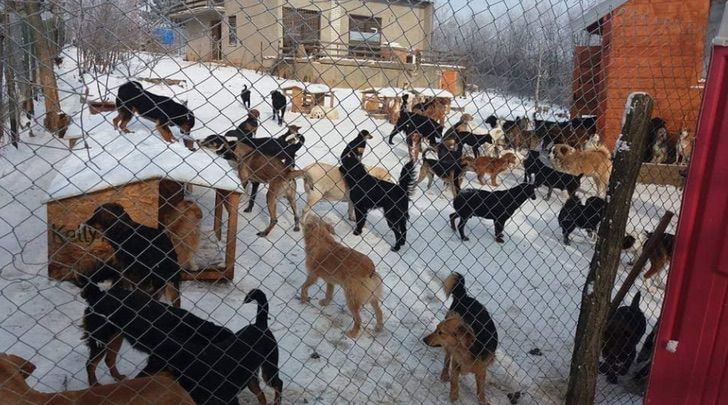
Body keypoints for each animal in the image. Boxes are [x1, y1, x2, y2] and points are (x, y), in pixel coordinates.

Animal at [79, 280, 282, 404]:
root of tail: (98, 294)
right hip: (102, 337)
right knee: (91, 363)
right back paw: (95, 385)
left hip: (114, 336)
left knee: (108, 360)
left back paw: (118, 378)